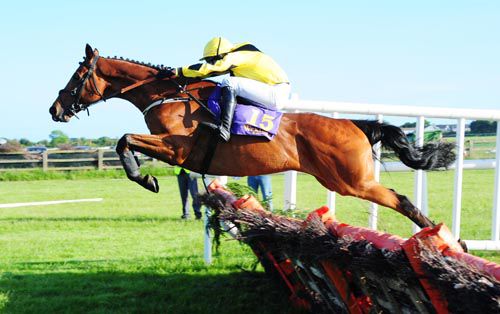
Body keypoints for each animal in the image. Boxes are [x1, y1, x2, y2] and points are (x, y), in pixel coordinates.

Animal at [49, 44, 458, 236]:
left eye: (77, 76)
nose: (56, 109)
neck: (170, 96)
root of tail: (355, 125)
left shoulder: (176, 148)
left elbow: (123, 140)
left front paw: (146, 179)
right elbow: (126, 142)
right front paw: (148, 178)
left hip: (351, 180)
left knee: (402, 200)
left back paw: (445, 238)